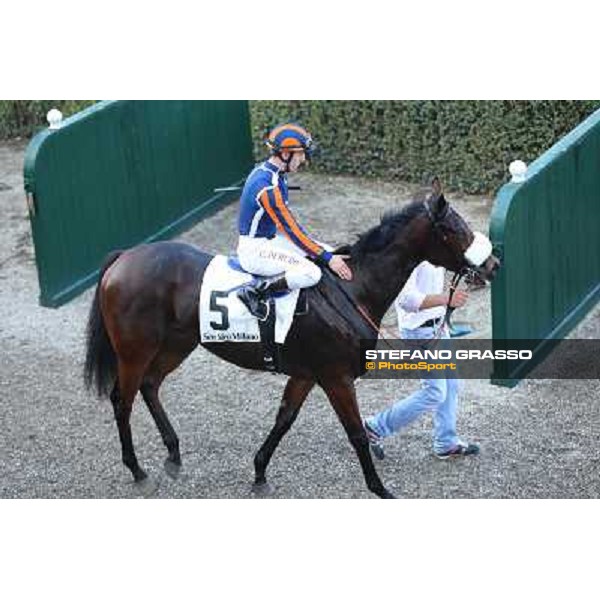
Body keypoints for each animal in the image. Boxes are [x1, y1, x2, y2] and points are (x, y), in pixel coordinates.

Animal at [83, 186, 496, 496]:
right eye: (456, 229)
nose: (493, 264)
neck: (352, 289)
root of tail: (125, 256)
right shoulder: (335, 377)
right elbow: (356, 434)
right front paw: (380, 489)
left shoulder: (306, 374)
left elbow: (284, 419)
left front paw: (259, 473)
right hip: (134, 351)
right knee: (122, 400)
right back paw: (137, 469)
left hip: (176, 344)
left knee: (151, 386)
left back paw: (173, 455)